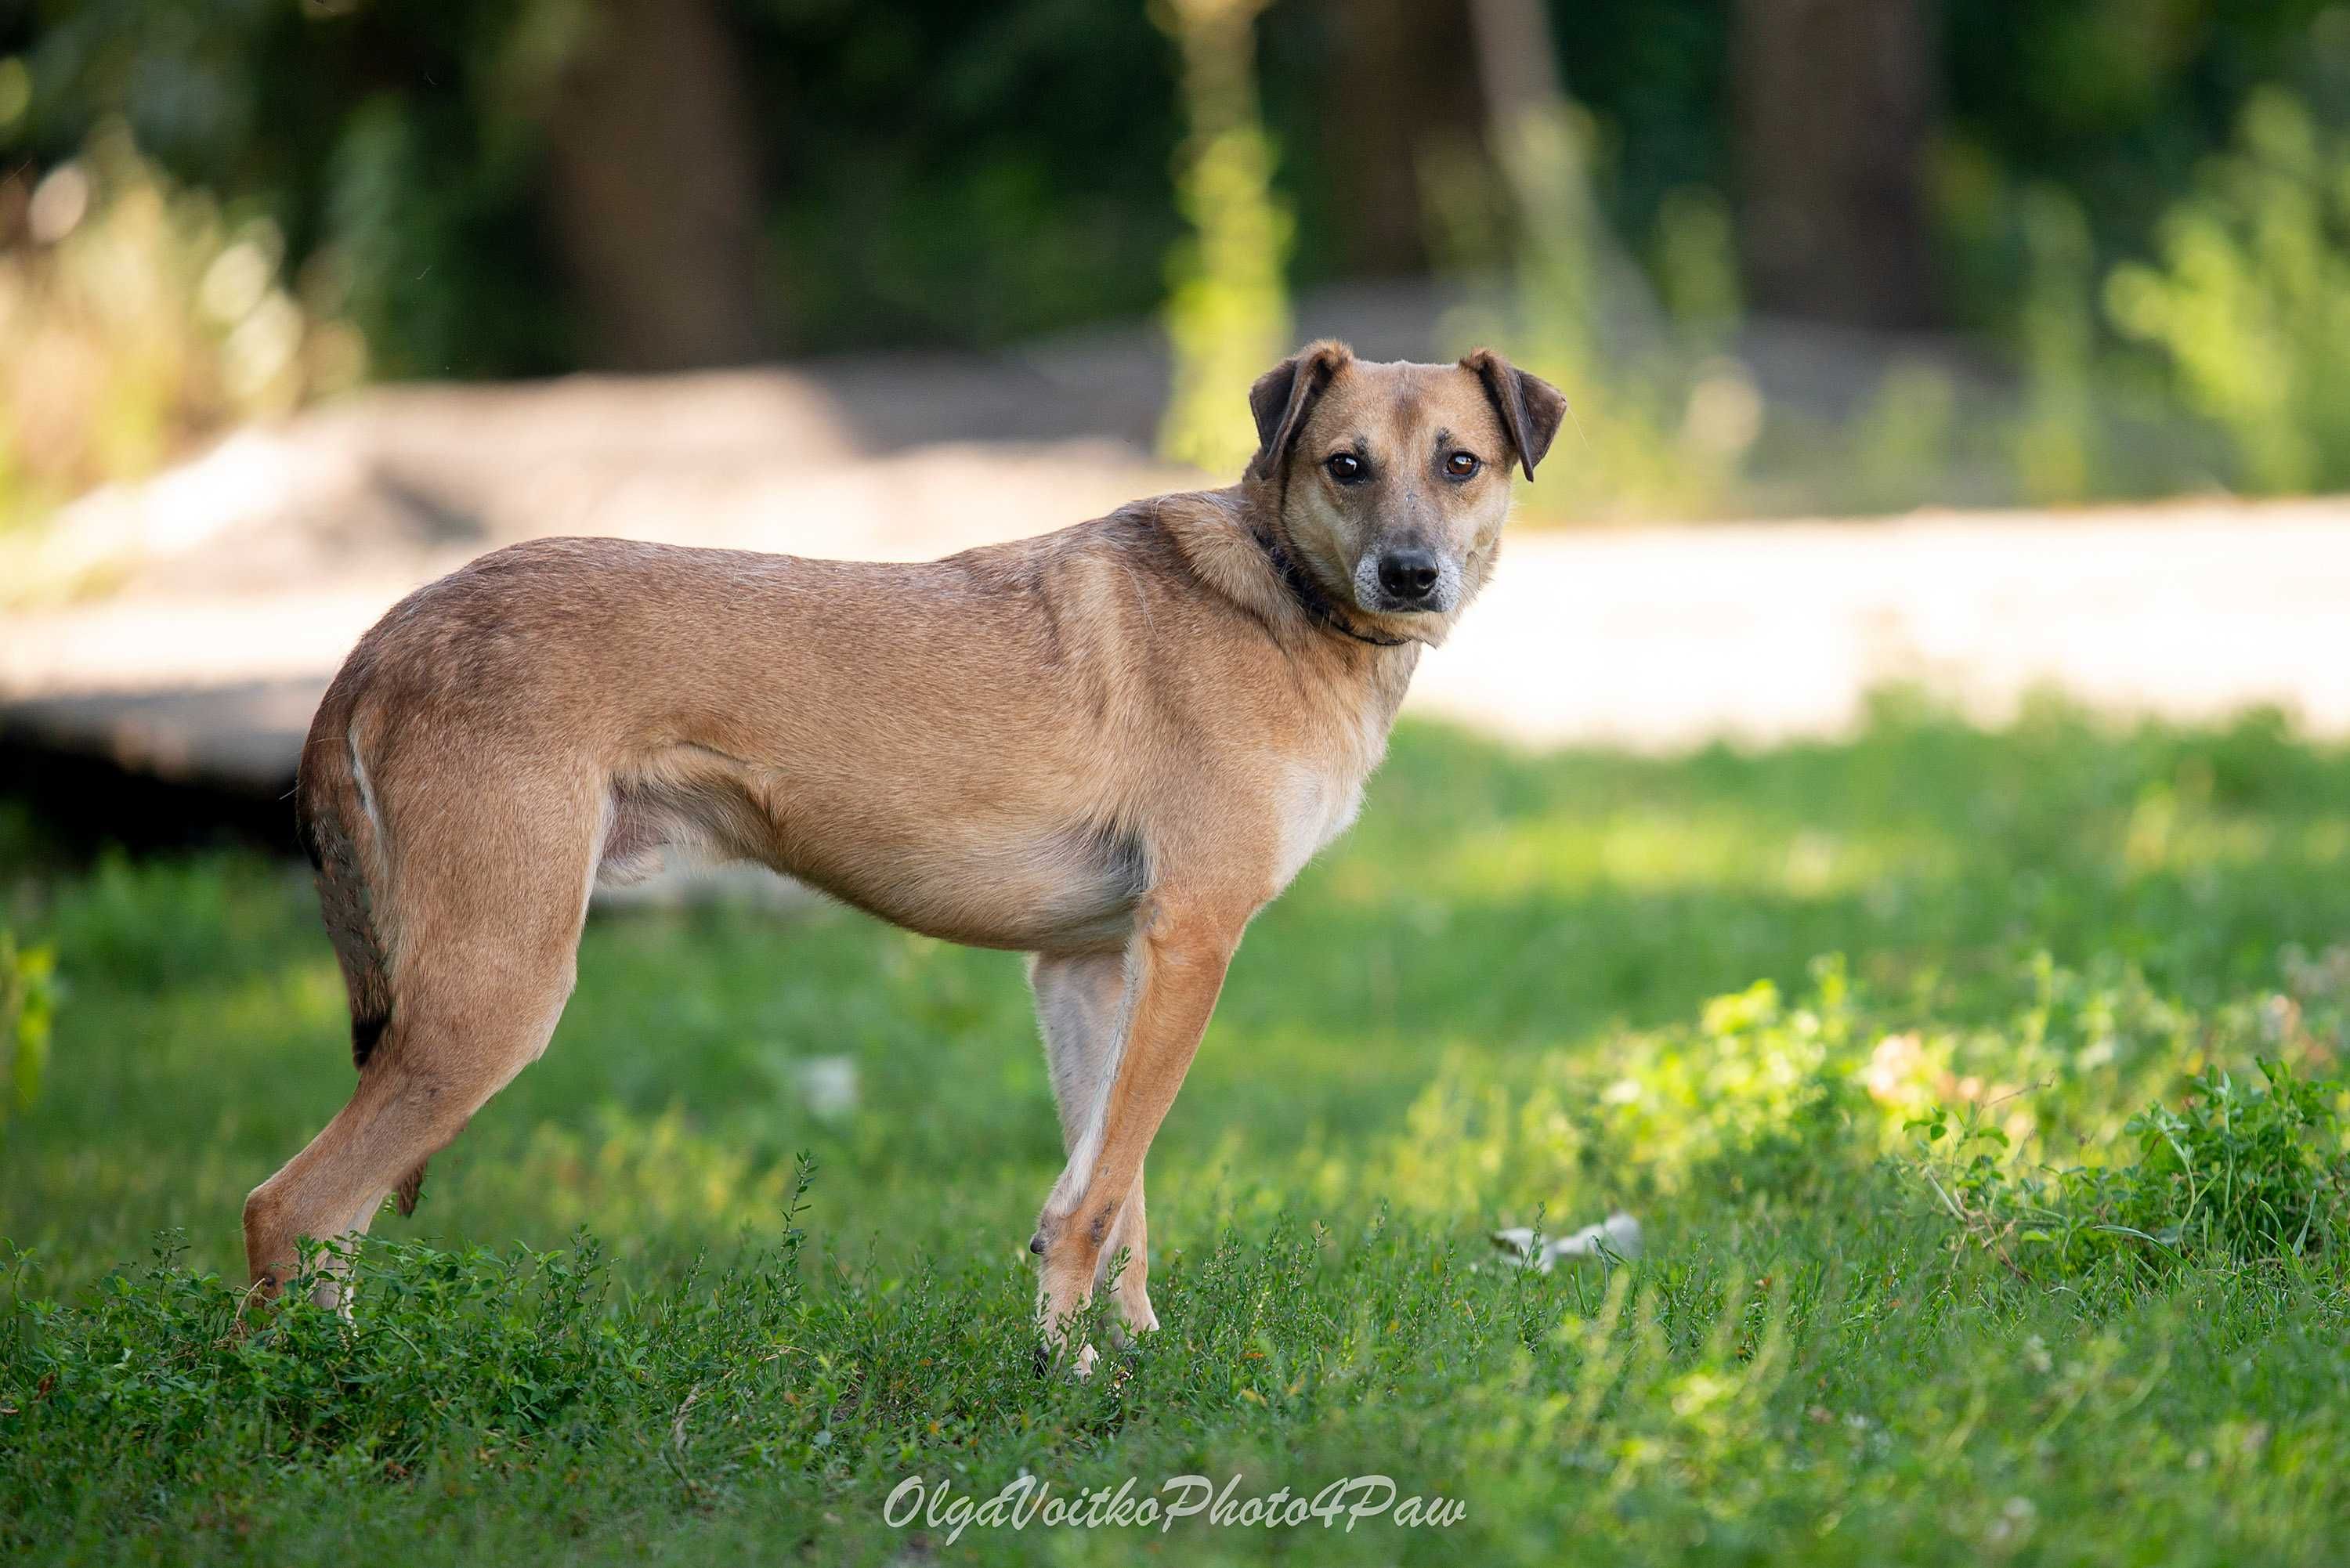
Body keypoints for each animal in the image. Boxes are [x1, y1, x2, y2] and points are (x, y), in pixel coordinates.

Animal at [243, 341, 1560, 1363]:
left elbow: (1112, 1191)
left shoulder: (1091, 967)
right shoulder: (1193, 939)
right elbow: (1100, 1195)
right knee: (289, 1210)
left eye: (1461, 462)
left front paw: (1120, 1354)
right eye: (1347, 463)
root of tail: (381, 638)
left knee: (324, 1223)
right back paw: (313, 1402)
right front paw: (1069, 1381)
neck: (1284, 592)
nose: (1411, 573)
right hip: (496, 996)